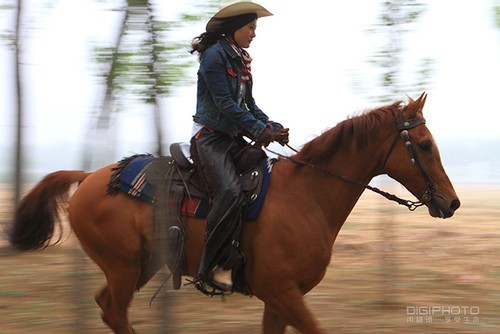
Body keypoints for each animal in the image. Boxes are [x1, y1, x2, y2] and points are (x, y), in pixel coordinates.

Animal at [8, 92, 460, 332]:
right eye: (423, 145)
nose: (451, 202)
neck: (307, 196)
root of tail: (89, 178)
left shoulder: (280, 298)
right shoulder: (282, 292)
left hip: (142, 265)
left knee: (107, 307)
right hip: (123, 266)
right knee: (115, 311)